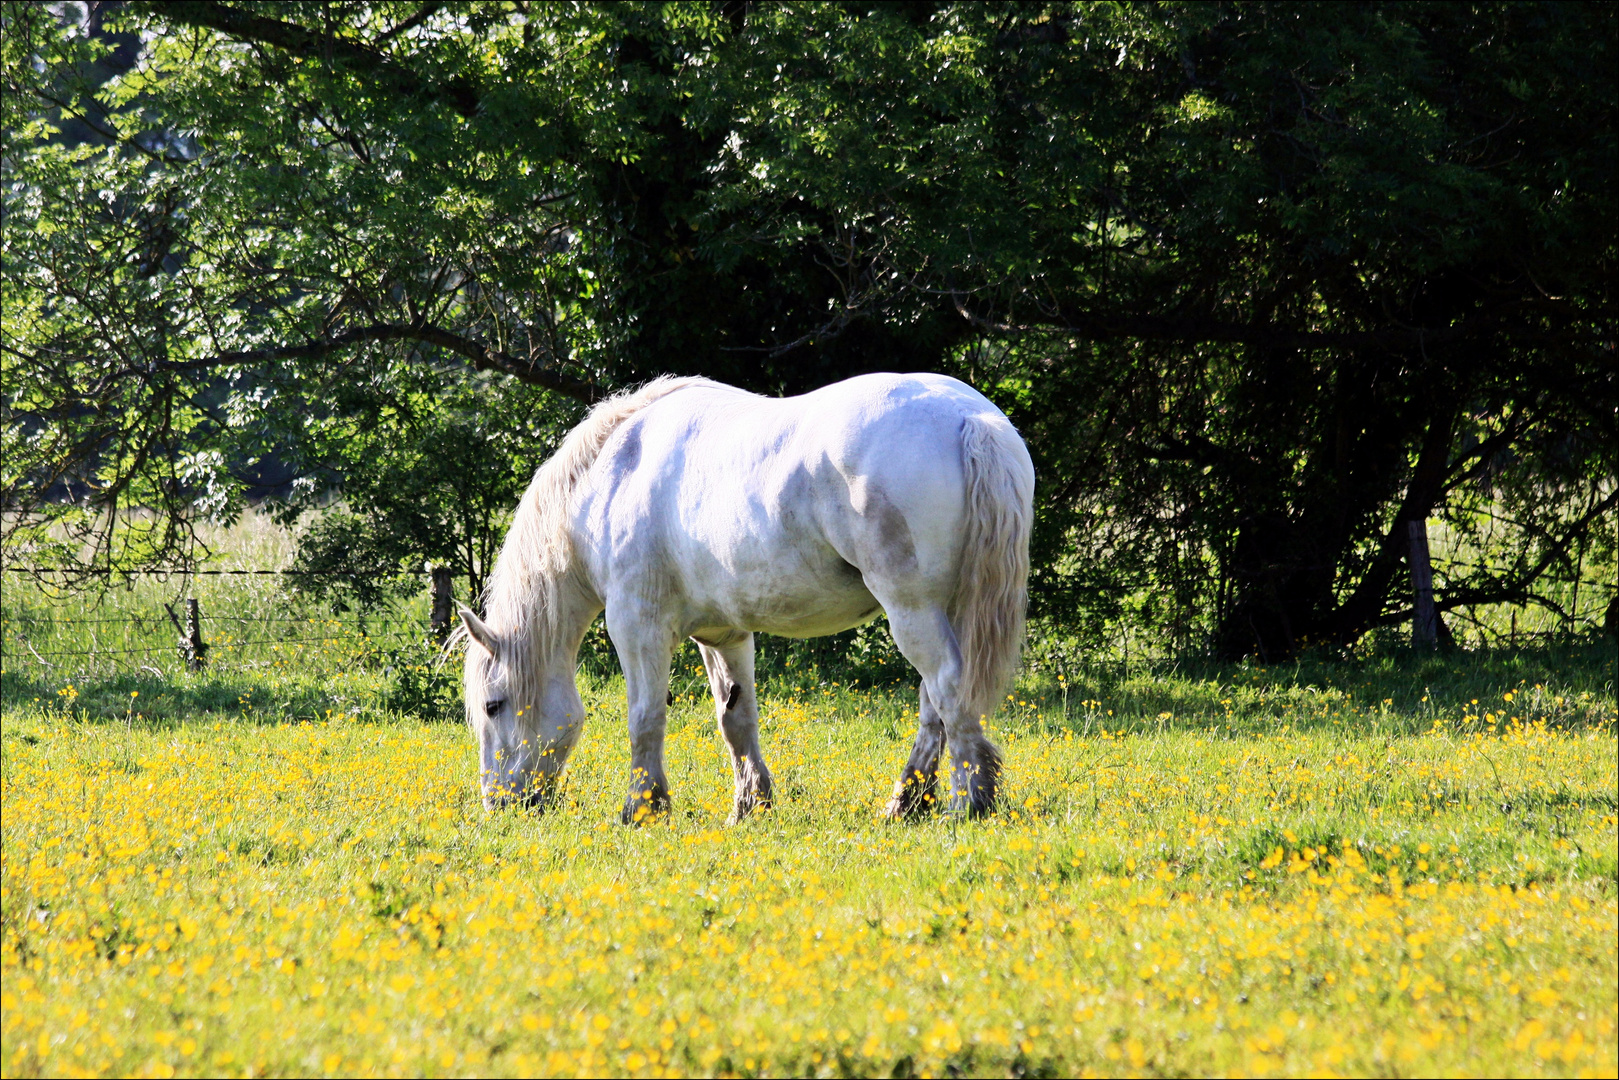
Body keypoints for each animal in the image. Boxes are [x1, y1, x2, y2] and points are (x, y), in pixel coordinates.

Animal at [453, 372, 1036, 819]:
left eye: (492, 704)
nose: (499, 806)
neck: (612, 476)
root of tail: (970, 418)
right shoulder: (723, 634)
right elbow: (736, 718)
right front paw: (750, 807)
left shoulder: (637, 626)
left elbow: (645, 718)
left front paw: (642, 809)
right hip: (943, 611)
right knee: (934, 704)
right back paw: (905, 805)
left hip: (913, 611)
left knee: (950, 690)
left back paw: (966, 803)